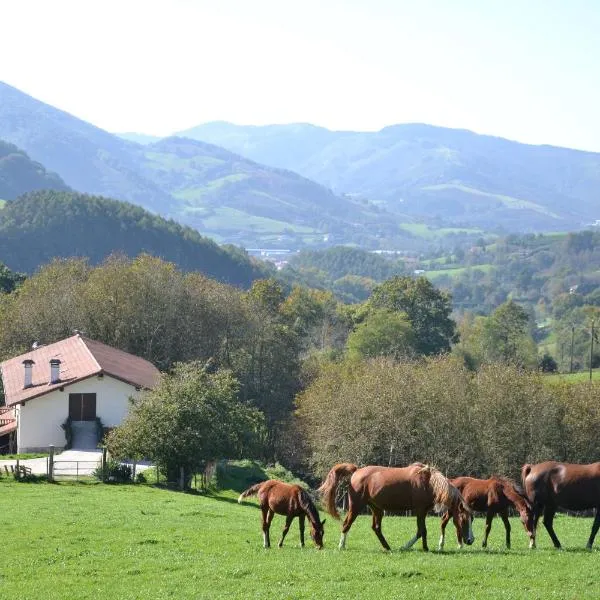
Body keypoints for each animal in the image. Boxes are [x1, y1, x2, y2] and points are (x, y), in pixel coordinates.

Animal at [318, 462, 474, 552]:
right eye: (463, 520)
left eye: (472, 519)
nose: (470, 540)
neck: (428, 482)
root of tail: (357, 471)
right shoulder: (420, 511)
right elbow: (422, 531)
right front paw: (420, 547)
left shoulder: (422, 512)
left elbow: (421, 531)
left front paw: (419, 547)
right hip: (356, 506)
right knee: (346, 524)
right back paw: (341, 546)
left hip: (377, 509)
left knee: (376, 528)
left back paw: (387, 547)